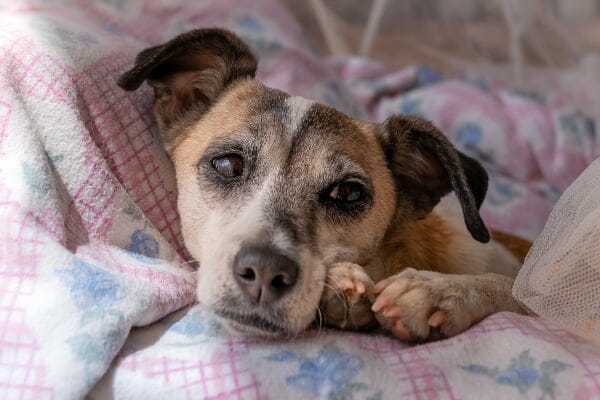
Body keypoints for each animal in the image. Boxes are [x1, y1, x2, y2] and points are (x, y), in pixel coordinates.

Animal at [117, 28, 528, 342]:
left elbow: (514, 293)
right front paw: (343, 282)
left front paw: (437, 291)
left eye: (347, 192)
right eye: (228, 164)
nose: (264, 271)